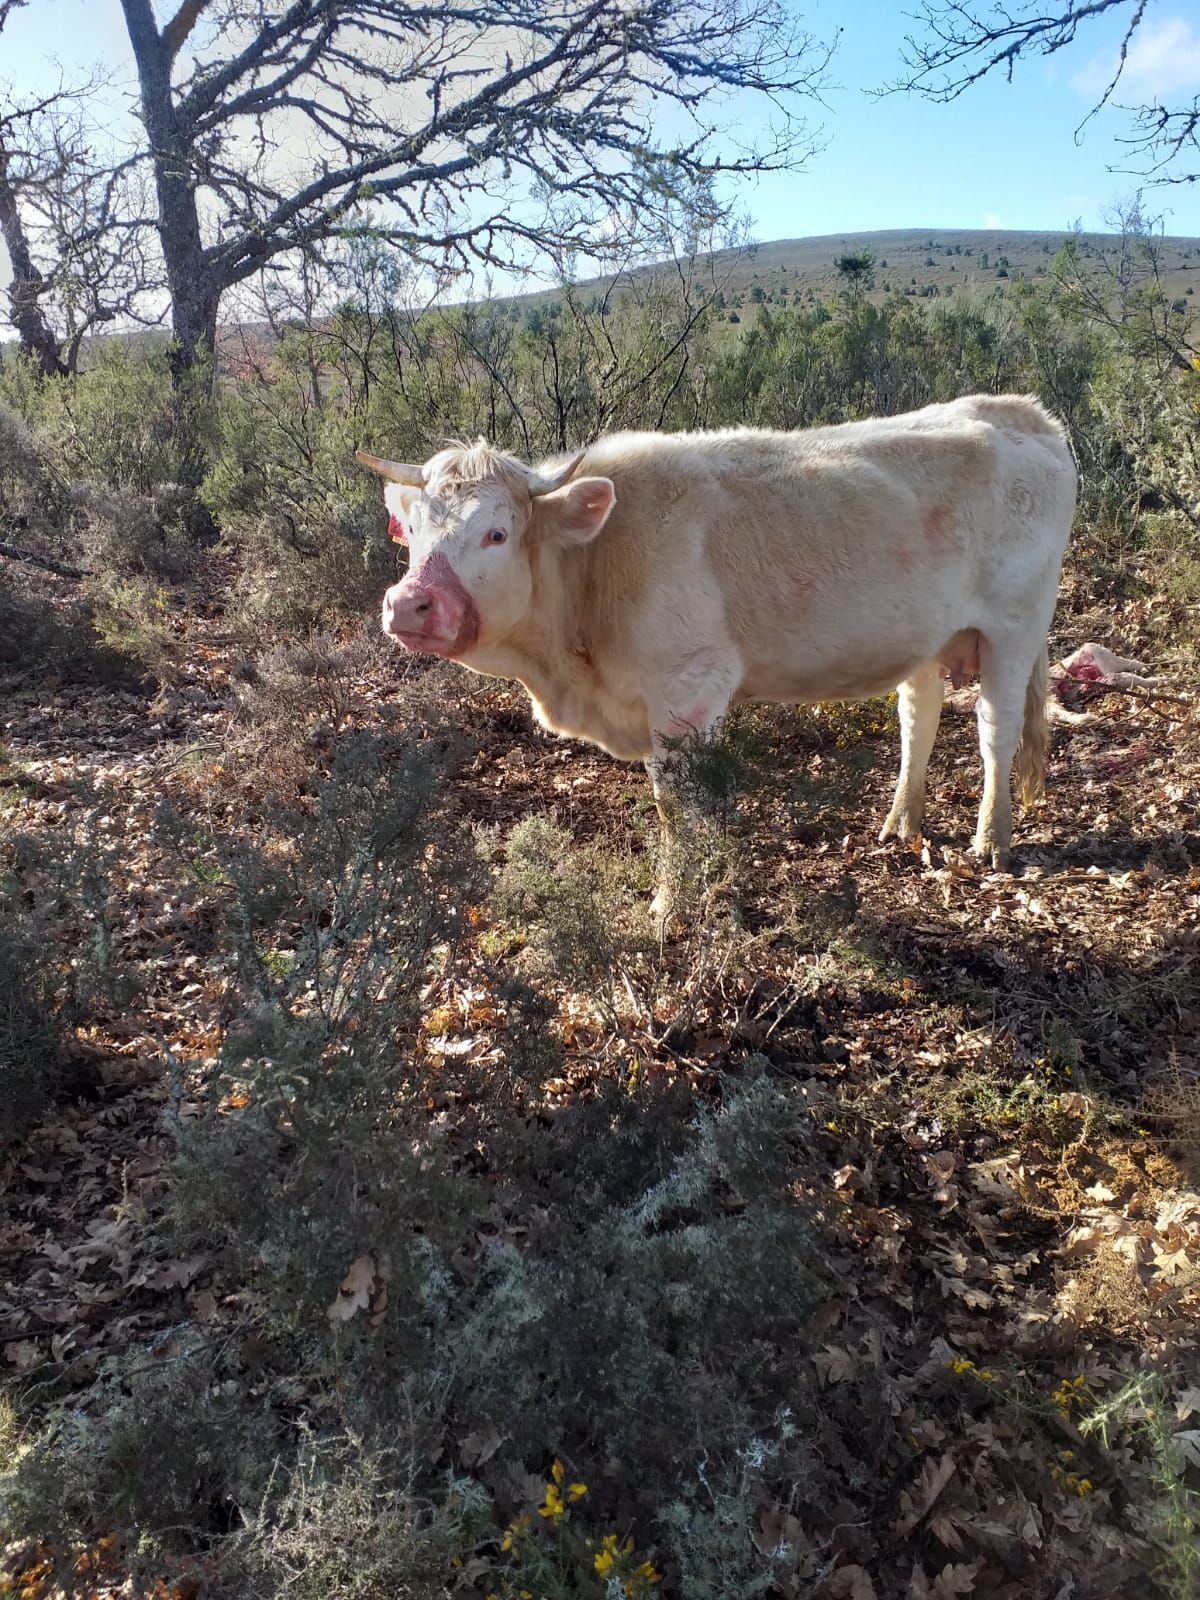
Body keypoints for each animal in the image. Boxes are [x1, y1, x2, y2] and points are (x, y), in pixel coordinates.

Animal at [360, 395, 1081, 883]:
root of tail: (1023, 413)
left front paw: (678, 904)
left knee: (996, 728)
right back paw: (902, 822)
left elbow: (680, 811)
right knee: (919, 715)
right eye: (413, 530)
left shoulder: (689, 688)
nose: (408, 604)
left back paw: (992, 839)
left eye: (496, 533)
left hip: (1015, 625)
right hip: (927, 634)